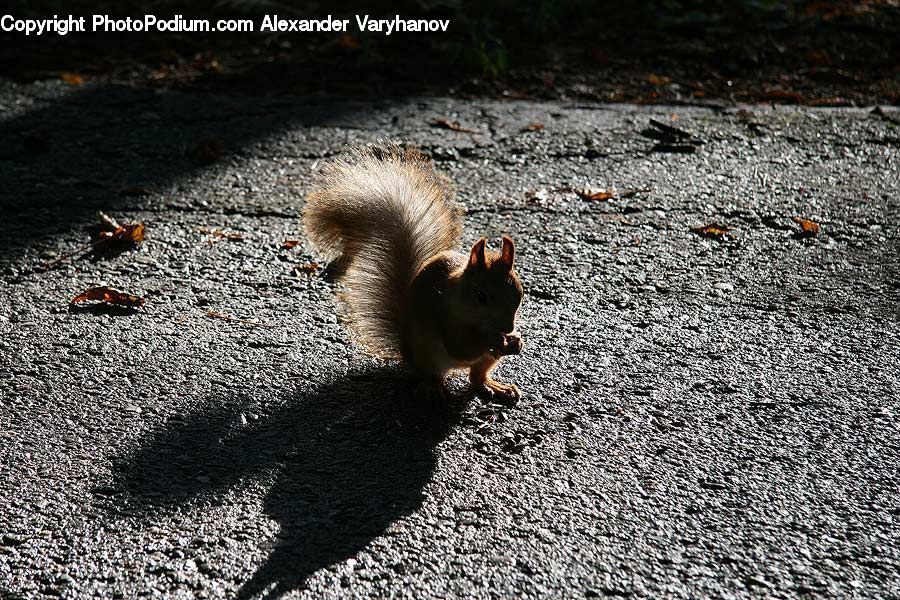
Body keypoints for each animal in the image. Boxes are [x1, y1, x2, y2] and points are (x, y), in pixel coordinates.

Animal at [303, 144, 524, 403]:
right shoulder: (444, 314)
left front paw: (516, 340)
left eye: (519, 294)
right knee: (434, 373)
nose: (507, 328)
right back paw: (433, 388)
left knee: (476, 376)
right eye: (481, 297)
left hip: (482, 360)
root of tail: (405, 351)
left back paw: (497, 386)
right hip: (426, 352)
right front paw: (495, 339)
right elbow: (459, 346)